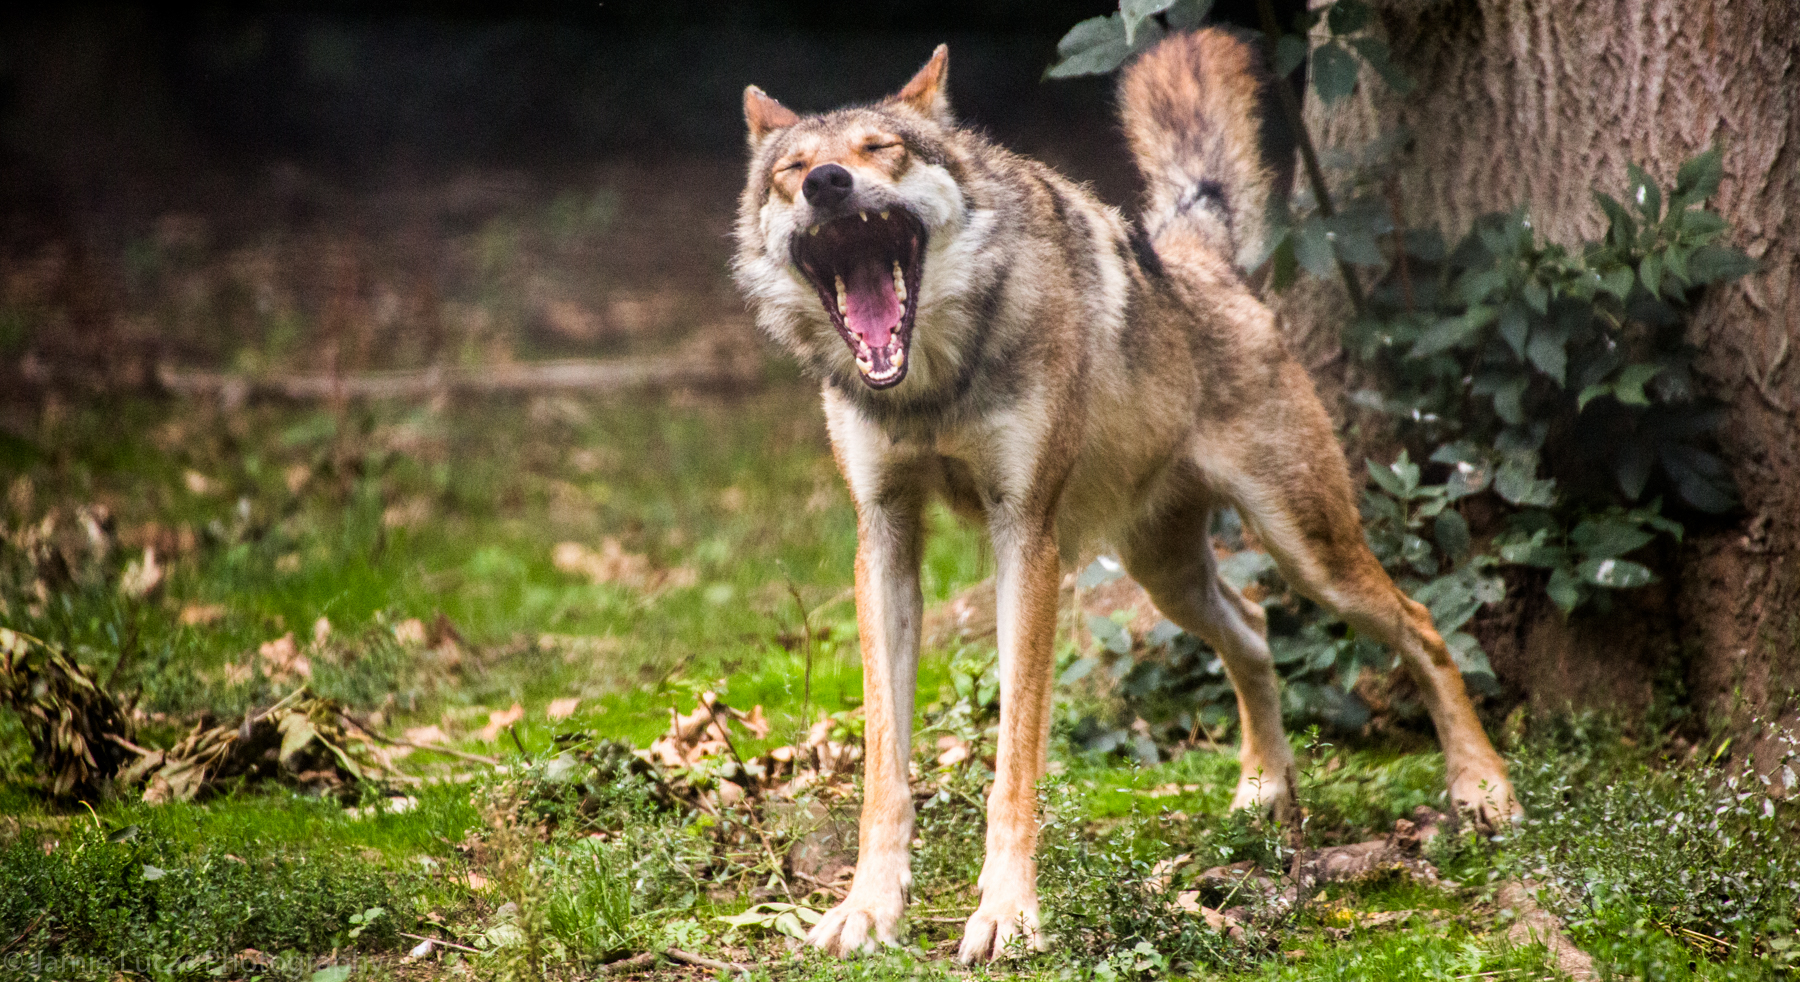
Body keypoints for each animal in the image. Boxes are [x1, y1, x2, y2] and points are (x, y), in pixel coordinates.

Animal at [733, 29, 1521, 963]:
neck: (931, 385)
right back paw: (1264, 792)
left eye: (879, 148)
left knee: (1422, 624)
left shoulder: (1026, 539)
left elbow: (1015, 762)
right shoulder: (882, 538)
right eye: (793, 169)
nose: (828, 184)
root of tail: (1197, 255)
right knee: (1254, 629)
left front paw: (1007, 914)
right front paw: (866, 908)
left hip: (1308, 551)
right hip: (1166, 576)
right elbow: (884, 766)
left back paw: (1483, 791)